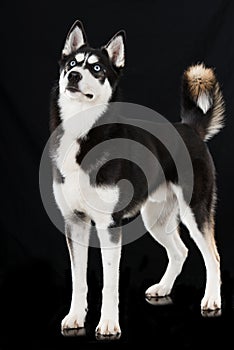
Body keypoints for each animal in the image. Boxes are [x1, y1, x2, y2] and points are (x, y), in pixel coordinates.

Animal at [50, 19, 224, 336]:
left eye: (97, 68)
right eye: (71, 63)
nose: (73, 75)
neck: (84, 131)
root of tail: (190, 128)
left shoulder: (109, 225)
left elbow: (109, 283)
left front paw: (108, 323)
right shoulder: (75, 222)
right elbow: (79, 280)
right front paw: (75, 317)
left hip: (195, 212)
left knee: (212, 256)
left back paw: (212, 299)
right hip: (155, 218)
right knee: (180, 251)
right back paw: (163, 288)